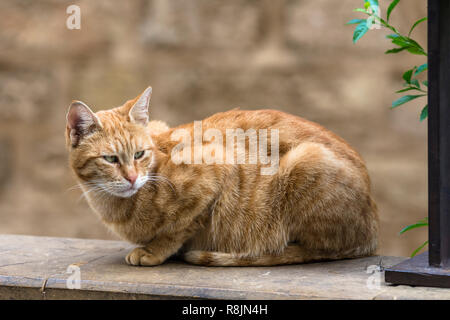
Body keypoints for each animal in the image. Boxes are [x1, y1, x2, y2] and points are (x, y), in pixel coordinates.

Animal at [65, 86, 378, 266]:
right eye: (110, 159)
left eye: (140, 154)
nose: (131, 178)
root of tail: (372, 232)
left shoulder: (215, 171)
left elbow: (180, 227)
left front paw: (155, 250)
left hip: (307, 160)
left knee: (319, 249)